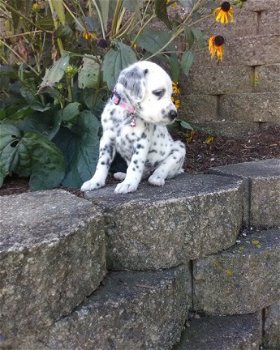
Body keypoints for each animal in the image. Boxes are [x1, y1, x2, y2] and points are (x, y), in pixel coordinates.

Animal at [80, 60, 186, 194]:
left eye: (171, 93)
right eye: (158, 92)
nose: (174, 114)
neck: (127, 114)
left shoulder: (141, 142)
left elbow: (135, 166)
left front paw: (128, 184)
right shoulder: (107, 140)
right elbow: (102, 163)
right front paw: (94, 182)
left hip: (179, 148)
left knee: (163, 168)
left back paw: (156, 178)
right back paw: (122, 175)